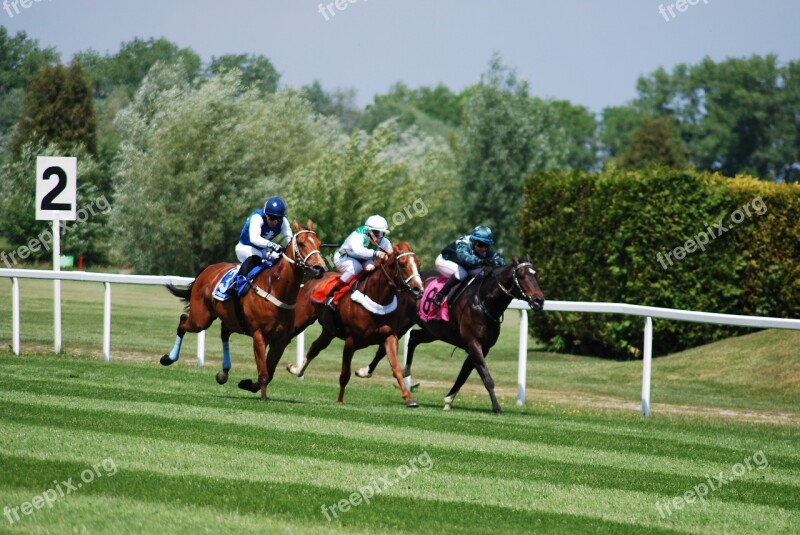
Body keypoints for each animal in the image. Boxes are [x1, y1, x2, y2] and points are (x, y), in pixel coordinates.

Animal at [161, 220, 326, 400]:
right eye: (301, 243)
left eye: (319, 243)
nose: (319, 268)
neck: (276, 288)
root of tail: (207, 270)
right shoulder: (259, 335)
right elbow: (264, 372)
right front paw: (263, 397)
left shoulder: (281, 339)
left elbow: (270, 371)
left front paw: (248, 385)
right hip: (201, 319)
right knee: (183, 321)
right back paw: (168, 358)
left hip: (230, 319)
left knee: (224, 333)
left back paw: (224, 372)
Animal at [286, 242, 424, 406]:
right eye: (402, 264)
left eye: (418, 264)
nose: (418, 290)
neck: (377, 299)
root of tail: (312, 280)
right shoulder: (351, 341)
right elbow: (345, 373)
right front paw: (340, 400)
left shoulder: (390, 336)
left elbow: (396, 368)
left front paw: (409, 399)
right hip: (300, 321)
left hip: (329, 331)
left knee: (315, 348)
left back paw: (296, 370)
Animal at [360, 258, 548, 416]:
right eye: (522, 276)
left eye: (537, 275)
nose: (539, 301)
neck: (484, 301)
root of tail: (407, 284)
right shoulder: (473, 344)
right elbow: (486, 378)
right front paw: (496, 407)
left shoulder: (481, 347)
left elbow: (464, 374)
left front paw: (448, 400)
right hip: (402, 323)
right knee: (386, 345)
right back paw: (365, 371)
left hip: (433, 331)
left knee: (413, 337)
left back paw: (405, 370)